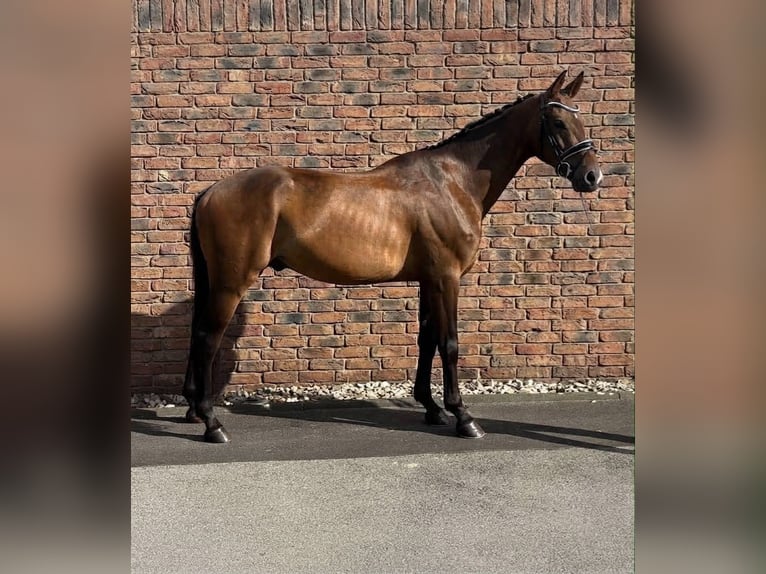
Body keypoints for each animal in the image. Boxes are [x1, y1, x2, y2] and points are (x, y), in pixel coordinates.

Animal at [183, 70, 602, 443]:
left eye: (581, 118)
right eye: (558, 121)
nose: (592, 177)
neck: (452, 182)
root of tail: (210, 191)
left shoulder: (429, 279)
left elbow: (427, 339)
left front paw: (431, 408)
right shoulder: (447, 277)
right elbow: (449, 343)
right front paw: (463, 417)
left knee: (198, 332)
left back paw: (194, 409)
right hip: (231, 282)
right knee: (208, 337)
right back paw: (212, 423)